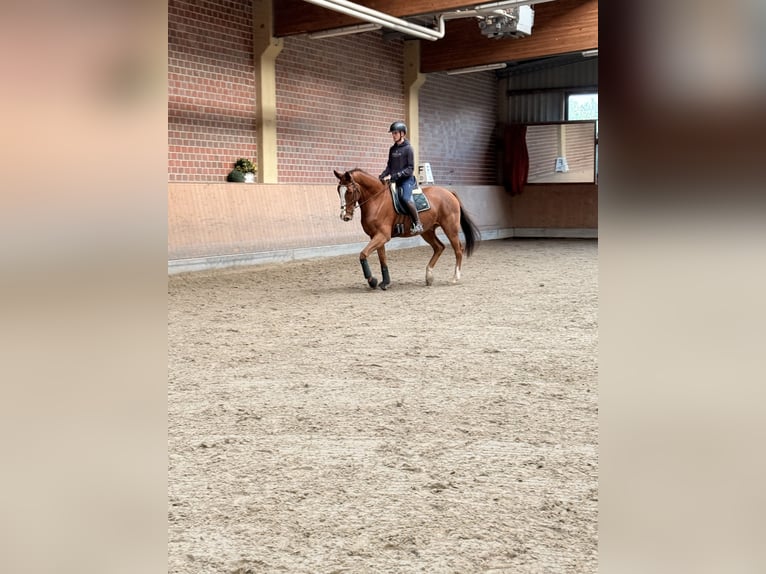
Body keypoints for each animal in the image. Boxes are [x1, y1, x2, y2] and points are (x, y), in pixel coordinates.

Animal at [334, 168, 480, 289]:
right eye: (338, 191)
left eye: (349, 191)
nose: (344, 216)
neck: (377, 199)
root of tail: (449, 192)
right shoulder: (376, 236)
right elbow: (382, 259)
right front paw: (385, 282)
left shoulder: (382, 235)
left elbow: (363, 254)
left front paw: (372, 281)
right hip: (427, 231)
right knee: (439, 247)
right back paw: (429, 277)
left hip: (450, 228)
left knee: (458, 250)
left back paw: (455, 278)